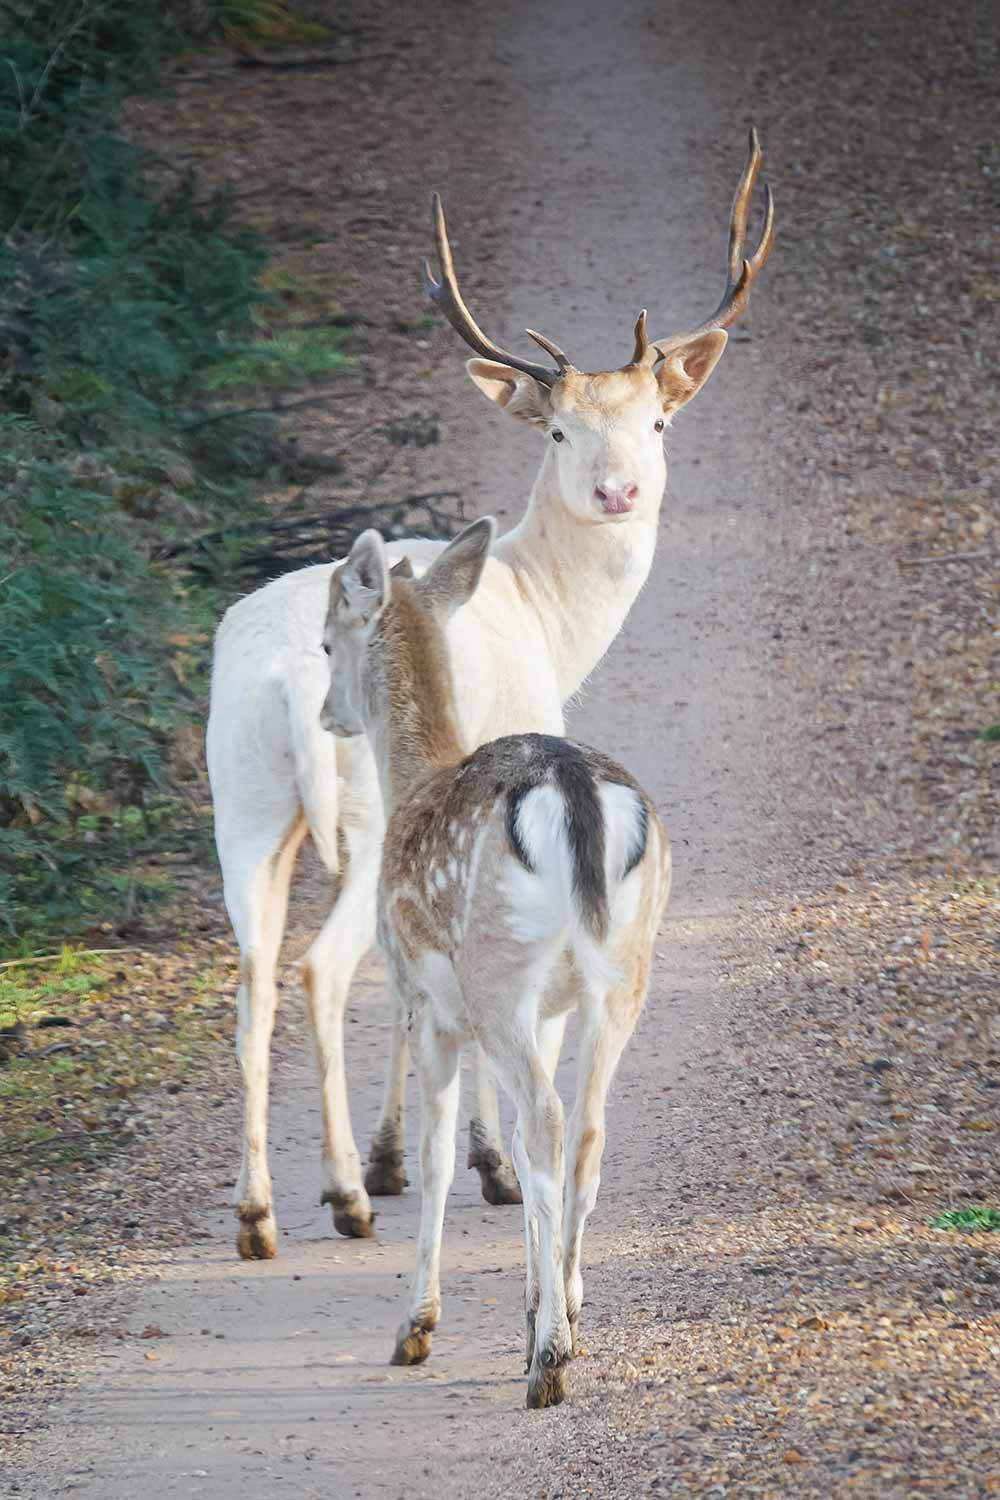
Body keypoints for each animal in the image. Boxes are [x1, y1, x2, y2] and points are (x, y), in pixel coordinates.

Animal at [206, 131, 773, 1260]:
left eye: (656, 420)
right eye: (556, 433)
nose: (616, 491)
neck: (548, 614)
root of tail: (285, 678)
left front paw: (403, 1156)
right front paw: (472, 1165)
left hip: (239, 801)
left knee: (249, 974)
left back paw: (257, 1214)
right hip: (356, 812)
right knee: (319, 969)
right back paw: (341, 1194)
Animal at [320, 516, 671, 1407]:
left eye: (327, 642)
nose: (327, 713)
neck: (416, 774)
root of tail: (576, 792)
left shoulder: (428, 1003)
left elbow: (439, 1158)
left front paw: (417, 1327)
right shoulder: (547, 1010)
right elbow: (512, 1141)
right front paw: (533, 1310)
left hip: (496, 969)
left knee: (547, 1121)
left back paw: (549, 1364)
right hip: (620, 971)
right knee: (584, 1128)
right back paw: (565, 1321)